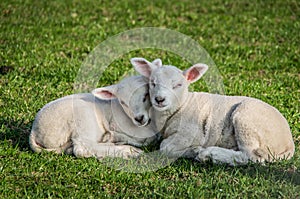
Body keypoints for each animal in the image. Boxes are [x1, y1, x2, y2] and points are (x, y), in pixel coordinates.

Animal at [29, 74, 159, 159]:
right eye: (123, 102)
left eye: (146, 95)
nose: (139, 118)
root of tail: (34, 132)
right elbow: (149, 137)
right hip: (82, 118)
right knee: (82, 148)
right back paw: (128, 151)